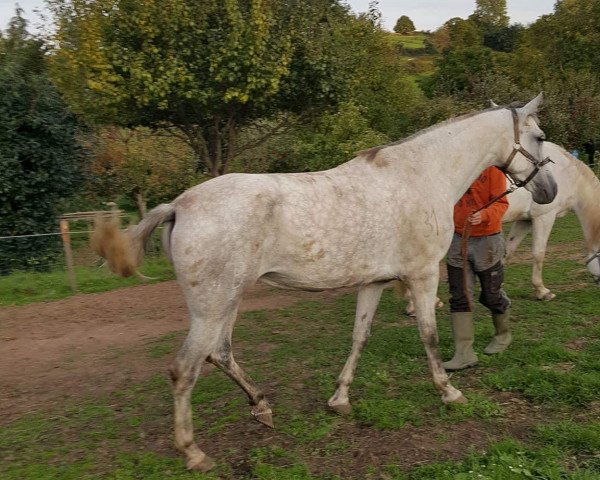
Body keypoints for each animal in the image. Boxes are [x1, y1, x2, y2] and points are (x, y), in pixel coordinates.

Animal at [91, 95, 556, 470]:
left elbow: (359, 337)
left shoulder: (375, 282)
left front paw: (340, 400)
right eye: (539, 136)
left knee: (219, 353)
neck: (421, 176)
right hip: (214, 305)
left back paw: (261, 408)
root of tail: (178, 205)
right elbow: (428, 335)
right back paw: (193, 452)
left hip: (228, 301)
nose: (549, 191)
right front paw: (449, 391)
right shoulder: (422, 275)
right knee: (185, 369)